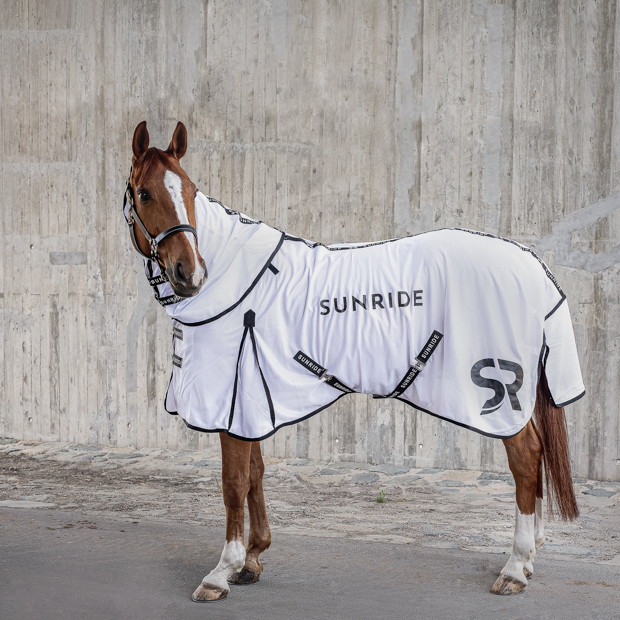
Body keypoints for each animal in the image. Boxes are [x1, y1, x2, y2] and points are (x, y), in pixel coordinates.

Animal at [123, 120, 584, 600]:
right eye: (145, 194)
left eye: (191, 191)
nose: (190, 273)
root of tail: (532, 265)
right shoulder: (248, 403)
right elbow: (255, 474)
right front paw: (251, 560)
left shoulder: (228, 405)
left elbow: (233, 483)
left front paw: (220, 573)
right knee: (537, 456)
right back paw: (529, 555)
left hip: (498, 392)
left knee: (526, 457)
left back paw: (515, 567)